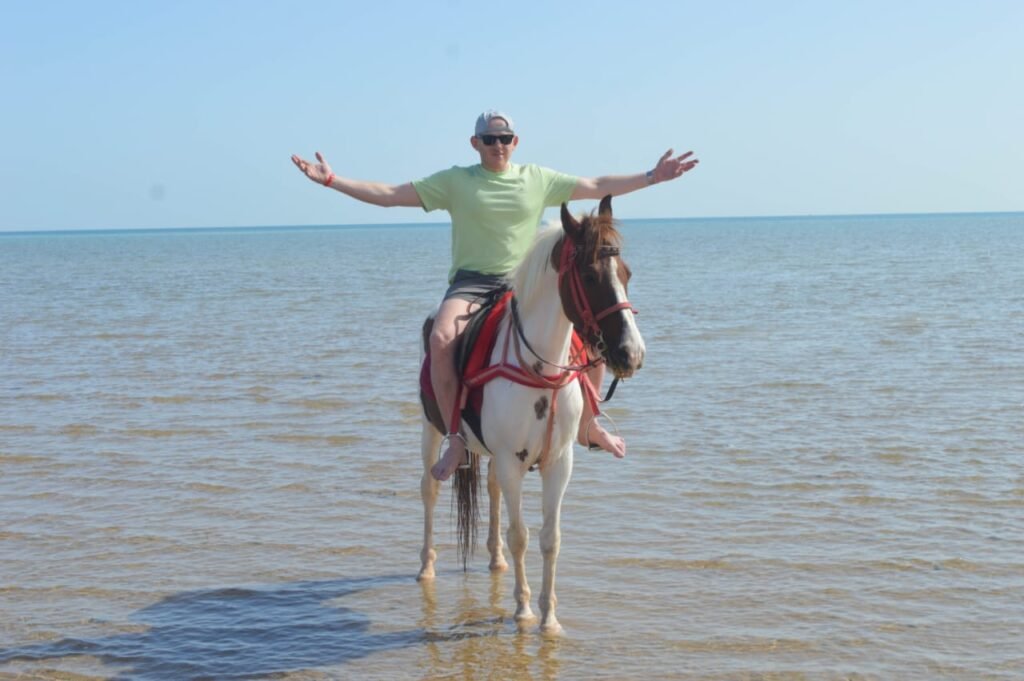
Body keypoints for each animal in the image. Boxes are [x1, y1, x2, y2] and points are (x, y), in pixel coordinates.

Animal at [417, 195, 645, 635]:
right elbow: (520, 534)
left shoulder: (558, 462)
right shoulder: (512, 461)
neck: (541, 368)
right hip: (430, 428)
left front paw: (549, 617)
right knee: (430, 488)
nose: (631, 353)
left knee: (489, 489)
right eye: (589, 275)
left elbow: (549, 538)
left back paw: (495, 559)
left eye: (626, 272)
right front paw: (523, 611)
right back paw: (426, 565)